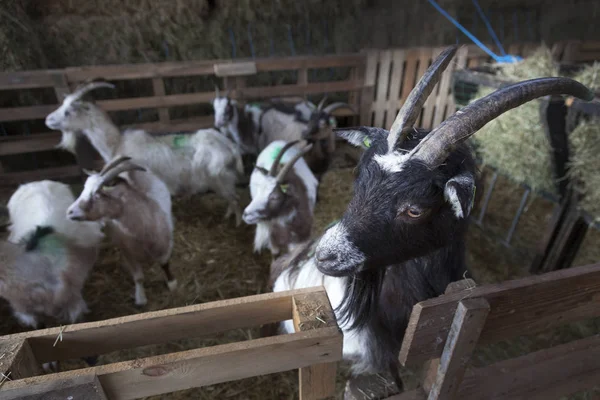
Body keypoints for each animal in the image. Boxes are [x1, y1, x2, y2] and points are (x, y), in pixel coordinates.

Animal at [45, 81, 245, 227]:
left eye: (68, 111)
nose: (47, 120)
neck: (117, 143)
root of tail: (230, 146)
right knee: (232, 199)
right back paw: (227, 217)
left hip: (221, 177)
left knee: (235, 200)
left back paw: (236, 223)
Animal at [69, 156, 176, 306]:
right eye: (83, 189)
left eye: (97, 195)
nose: (69, 212)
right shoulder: (126, 250)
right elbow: (138, 277)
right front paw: (140, 299)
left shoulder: (166, 244)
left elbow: (164, 264)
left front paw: (172, 284)